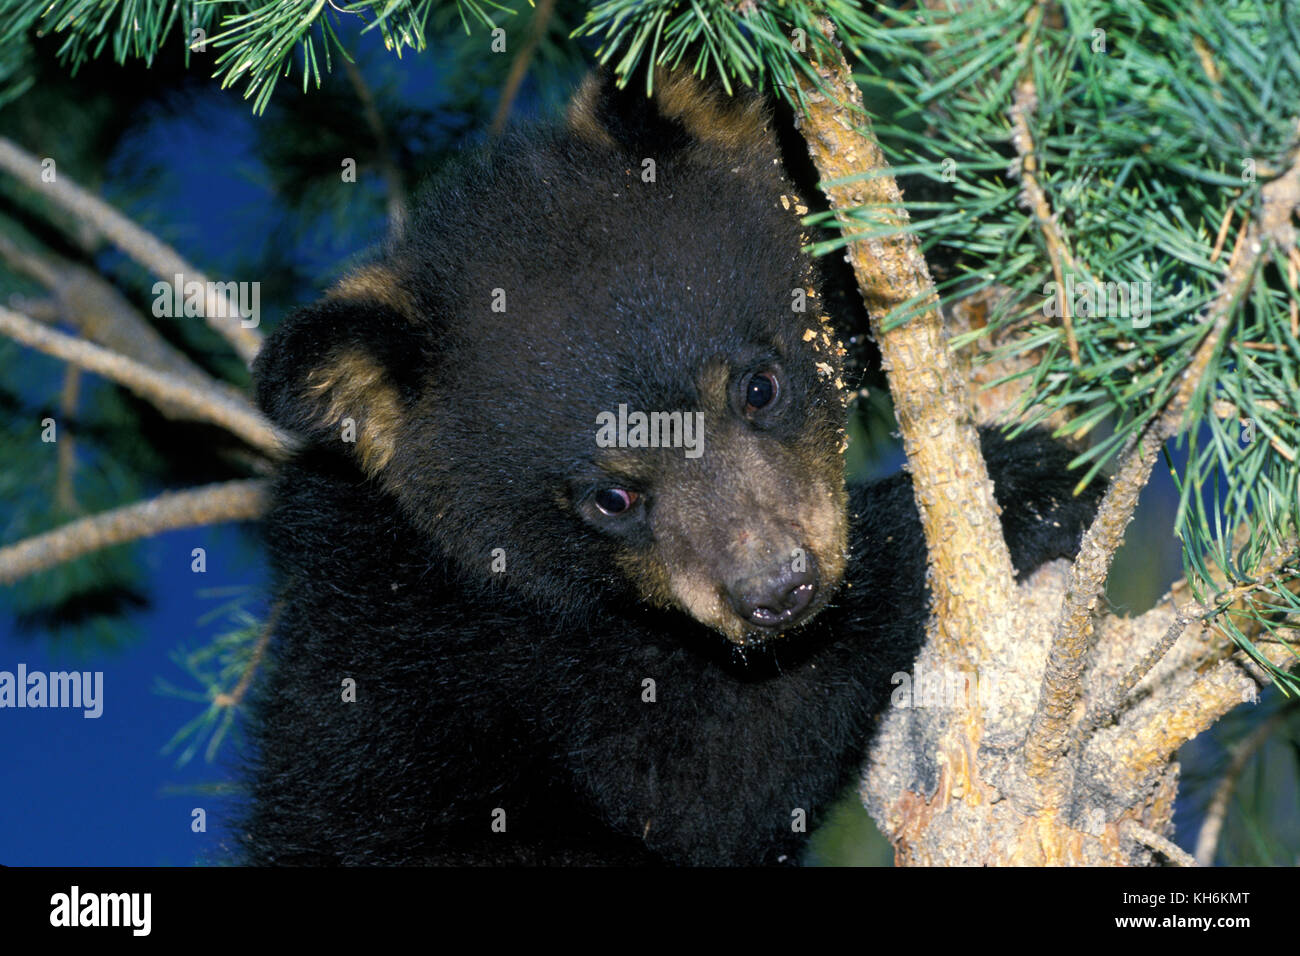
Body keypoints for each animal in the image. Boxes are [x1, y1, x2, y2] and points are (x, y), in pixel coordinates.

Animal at [238, 68, 1103, 865]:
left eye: (758, 386)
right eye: (611, 496)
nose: (778, 591)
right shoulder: (468, 662)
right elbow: (708, 780)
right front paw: (1024, 486)